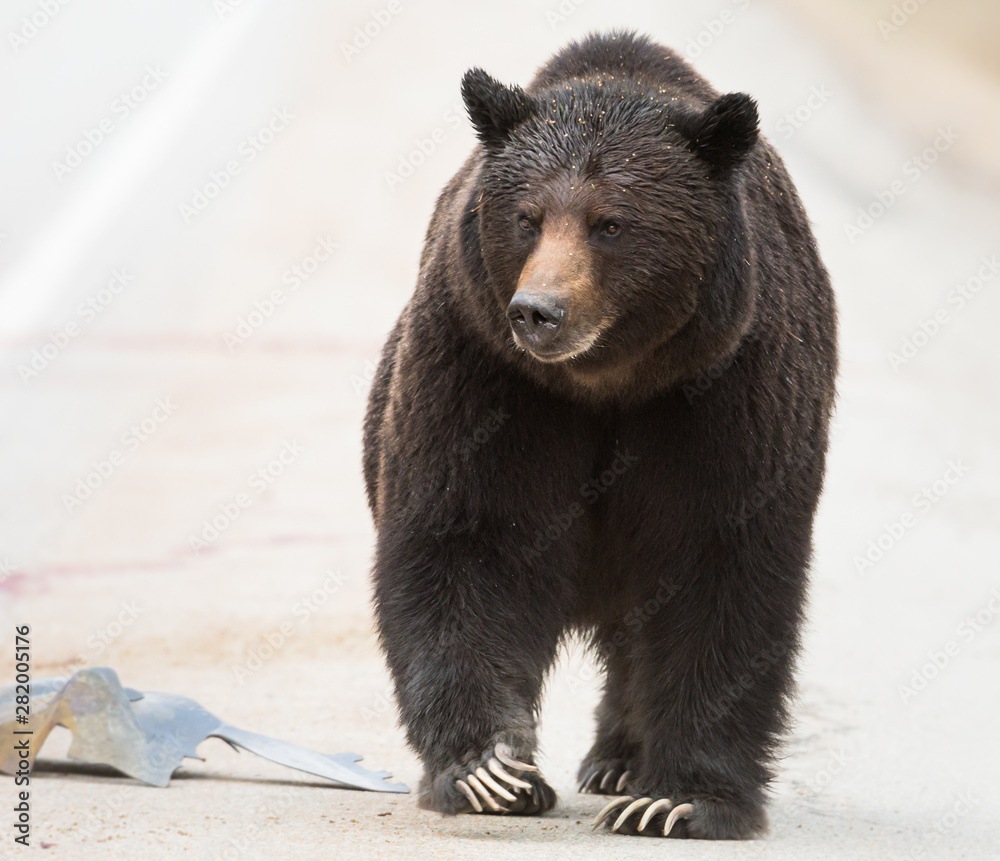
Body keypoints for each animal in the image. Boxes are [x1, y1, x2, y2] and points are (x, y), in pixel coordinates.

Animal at [366, 30, 836, 836]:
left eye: (610, 222)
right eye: (527, 217)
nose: (538, 311)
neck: (610, 380)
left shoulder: (730, 390)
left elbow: (723, 569)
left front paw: (680, 798)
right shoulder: (487, 373)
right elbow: (464, 537)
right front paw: (491, 768)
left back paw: (622, 761)